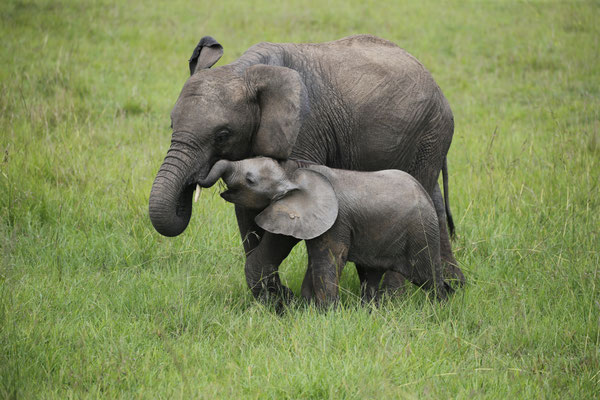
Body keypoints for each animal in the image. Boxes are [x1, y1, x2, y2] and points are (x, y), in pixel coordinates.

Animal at [199, 156, 452, 306]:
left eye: (250, 180)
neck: (293, 174)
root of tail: (423, 191)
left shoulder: (337, 220)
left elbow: (328, 260)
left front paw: (326, 313)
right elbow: (315, 261)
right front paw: (307, 308)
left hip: (421, 231)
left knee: (428, 276)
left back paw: (439, 307)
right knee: (371, 273)